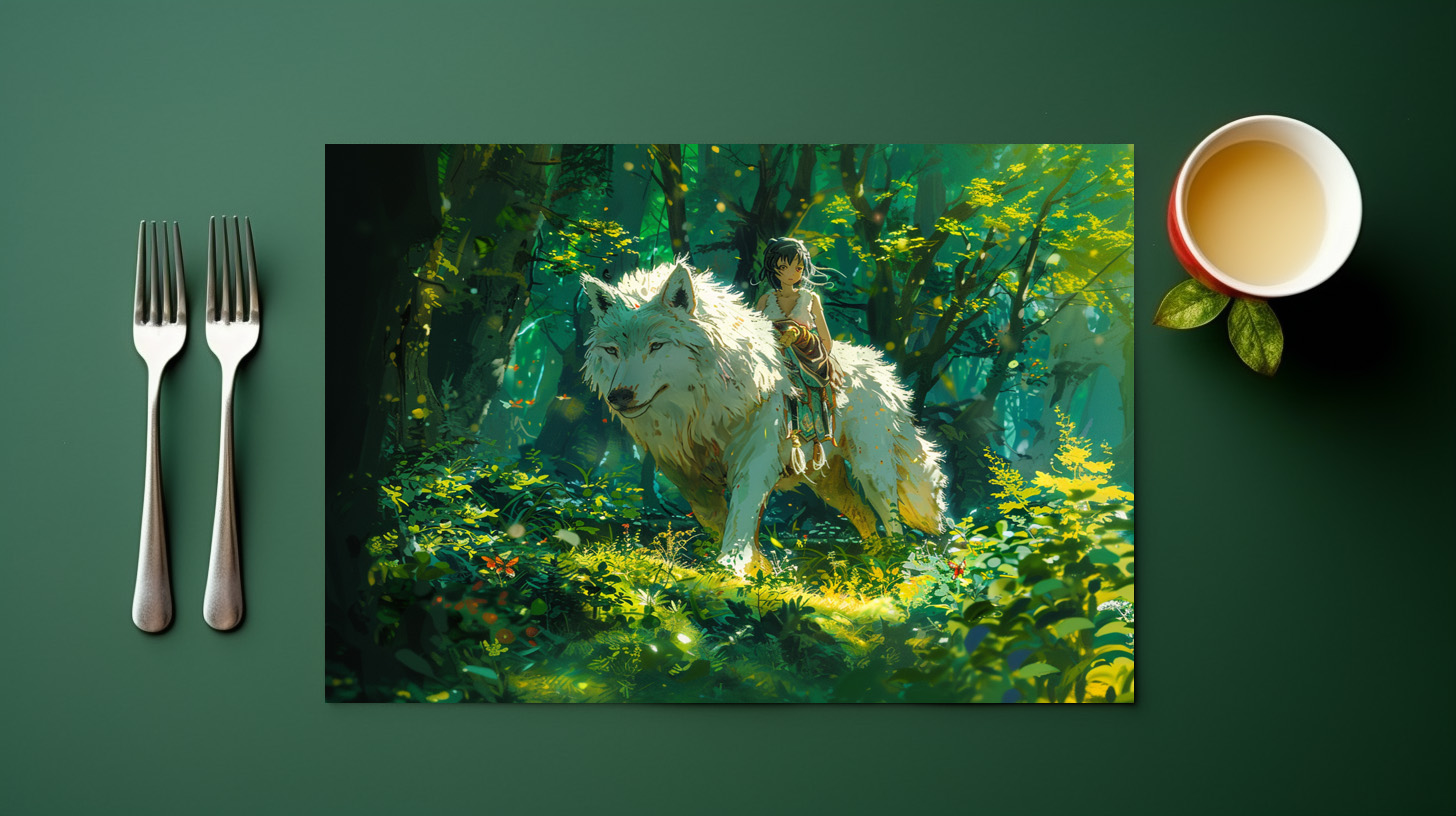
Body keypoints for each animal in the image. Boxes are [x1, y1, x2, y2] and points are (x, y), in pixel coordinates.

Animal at [580, 260, 947, 575]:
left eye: (656, 346)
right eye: (612, 351)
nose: (619, 396)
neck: (698, 412)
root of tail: (882, 368)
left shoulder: (754, 459)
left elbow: (741, 515)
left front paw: (732, 567)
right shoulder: (683, 473)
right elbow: (716, 519)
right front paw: (758, 567)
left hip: (872, 470)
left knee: (891, 518)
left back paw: (895, 565)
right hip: (826, 480)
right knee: (864, 514)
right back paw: (872, 564)